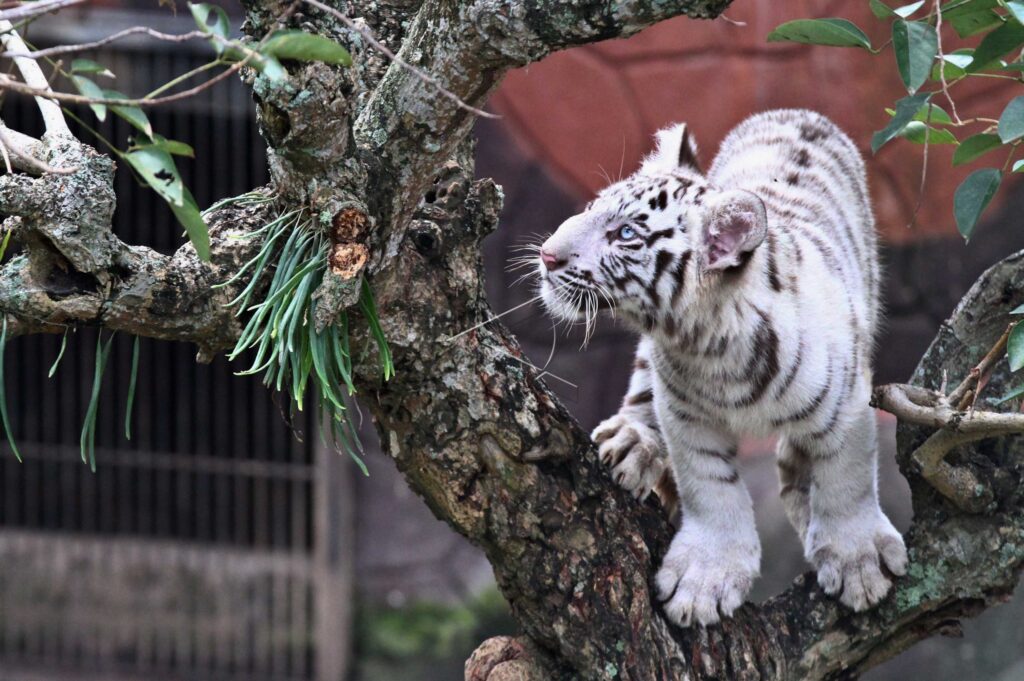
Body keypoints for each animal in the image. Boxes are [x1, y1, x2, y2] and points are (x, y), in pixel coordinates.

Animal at [536, 109, 907, 627]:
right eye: (591, 206)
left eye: (626, 234)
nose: (547, 255)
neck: (707, 342)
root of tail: (797, 113)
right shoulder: (686, 415)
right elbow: (709, 486)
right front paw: (702, 582)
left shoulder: (846, 403)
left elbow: (846, 476)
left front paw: (860, 564)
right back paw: (631, 442)